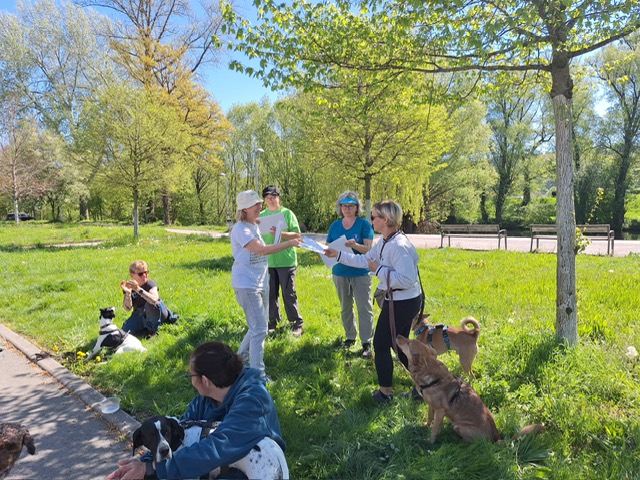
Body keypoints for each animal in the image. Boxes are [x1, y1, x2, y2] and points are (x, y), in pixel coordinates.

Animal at [396, 335, 543, 444]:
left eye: (408, 343)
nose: (397, 335)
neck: (431, 375)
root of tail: (497, 438)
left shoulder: (440, 410)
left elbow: (435, 429)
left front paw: (430, 441)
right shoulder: (431, 406)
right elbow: (429, 417)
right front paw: (425, 425)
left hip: (460, 426)